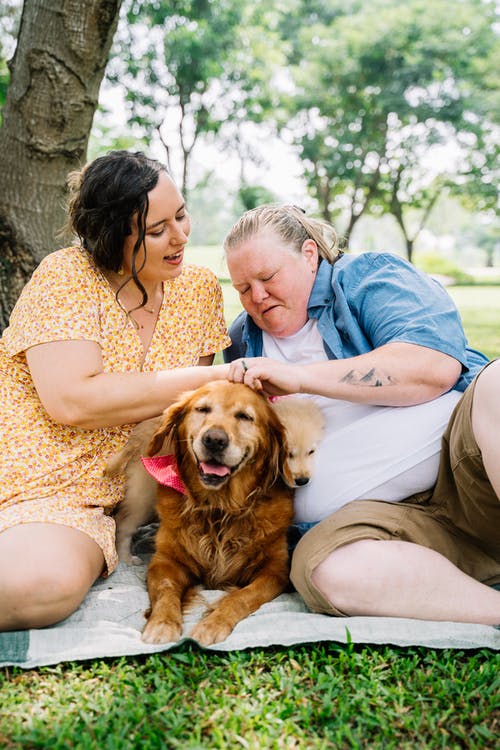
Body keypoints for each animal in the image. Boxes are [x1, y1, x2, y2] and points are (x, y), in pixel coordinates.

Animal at [139, 384, 294, 648]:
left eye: (245, 416)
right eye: (202, 409)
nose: (214, 440)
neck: (218, 508)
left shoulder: (274, 571)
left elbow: (242, 597)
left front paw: (212, 624)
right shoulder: (165, 561)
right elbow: (166, 589)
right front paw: (162, 624)